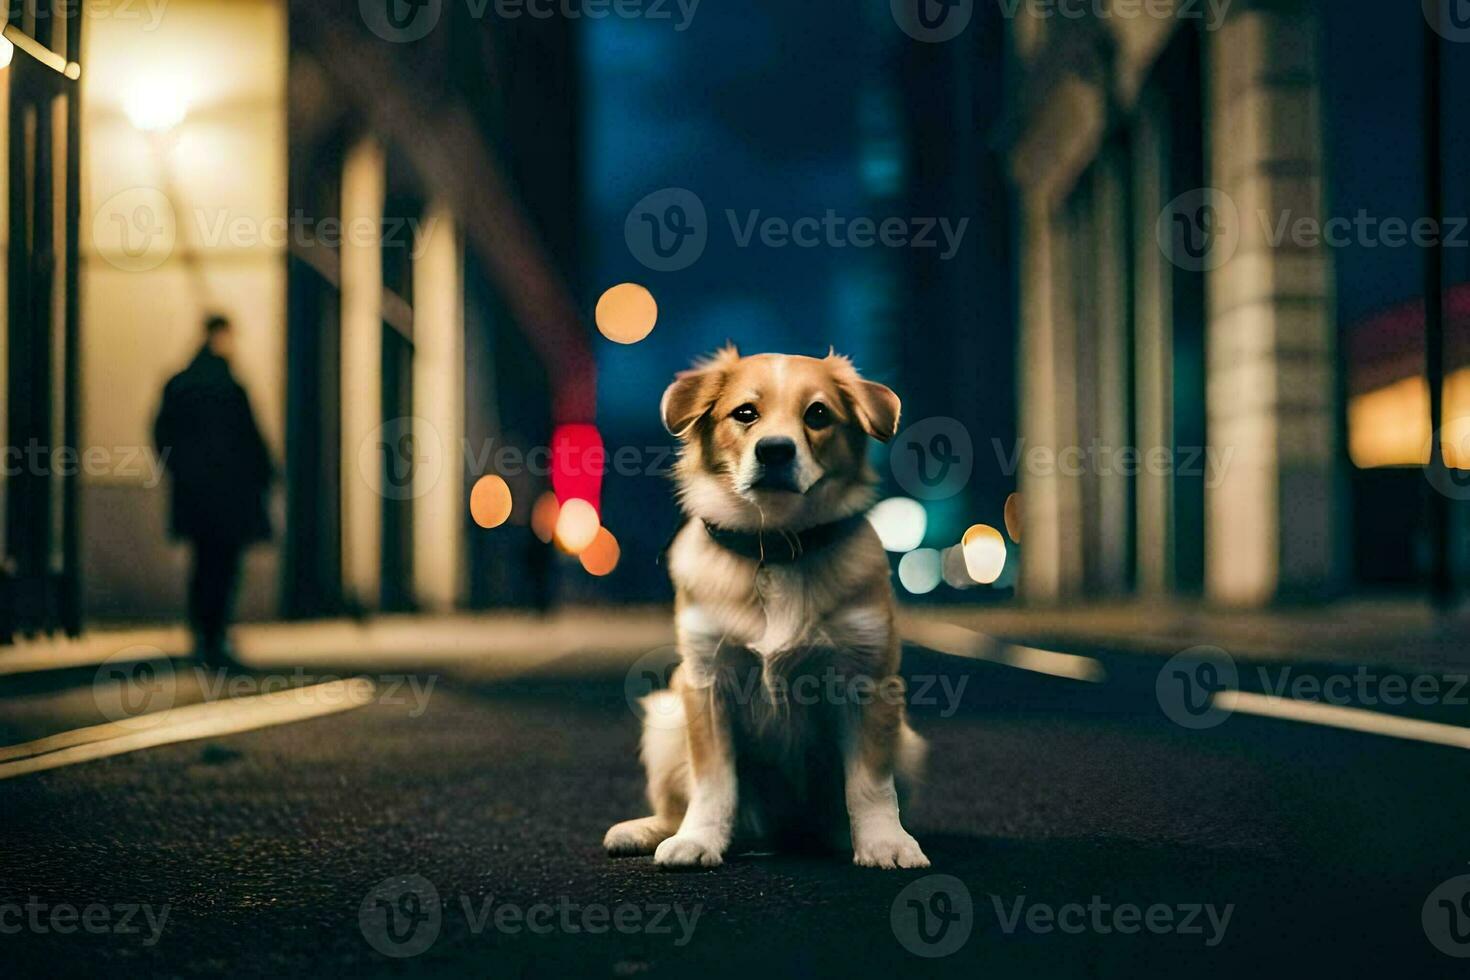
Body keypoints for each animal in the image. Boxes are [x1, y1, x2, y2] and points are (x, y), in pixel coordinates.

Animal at [599, 348, 929, 869]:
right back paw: (648, 830)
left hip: (909, 745)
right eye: (745, 413)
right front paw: (699, 839)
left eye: (818, 414)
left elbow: (871, 784)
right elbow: (713, 781)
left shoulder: (870, 683)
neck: (774, 545)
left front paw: (884, 841)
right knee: (677, 804)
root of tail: (780, 834)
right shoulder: (705, 682)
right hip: (665, 717)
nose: (775, 450)